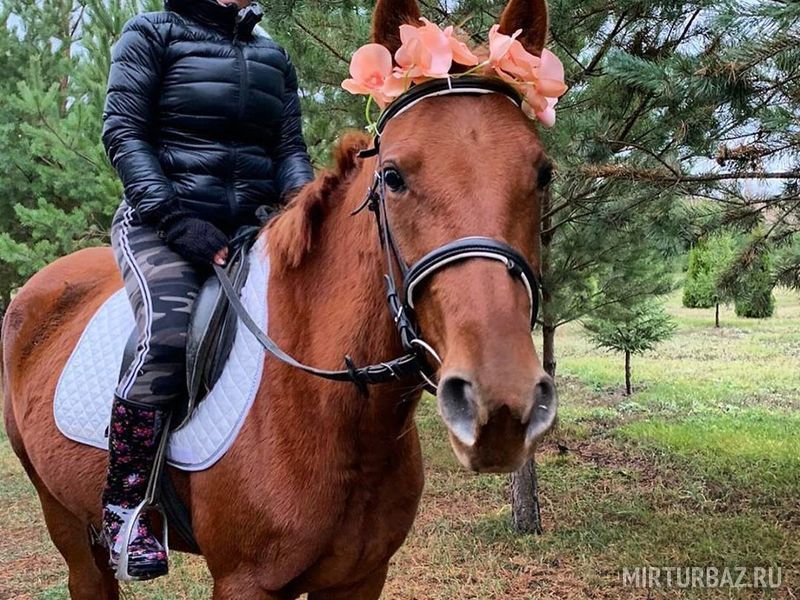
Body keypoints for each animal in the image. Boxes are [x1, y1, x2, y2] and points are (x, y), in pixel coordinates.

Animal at [2, 0, 558, 597]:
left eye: (543, 173)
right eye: (392, 176)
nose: (501, 405)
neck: (337, 413)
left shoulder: (362, 576)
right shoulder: (246, 581)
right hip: (65, 517)